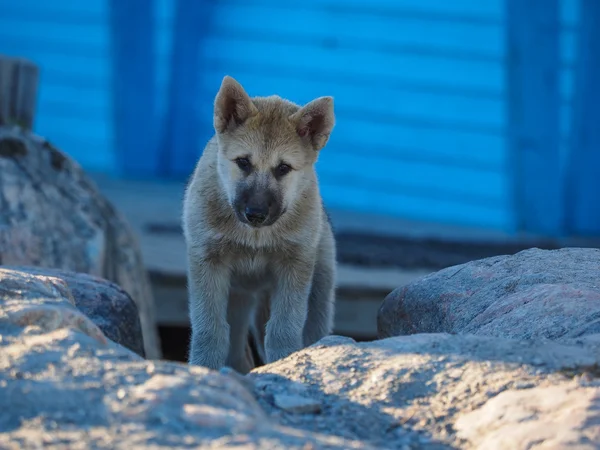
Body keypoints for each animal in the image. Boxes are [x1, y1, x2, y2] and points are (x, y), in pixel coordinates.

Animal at [182, 76, 338, 372]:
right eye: (243, 162)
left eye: (283, 168)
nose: (255, 213)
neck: (255, 238)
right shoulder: (208, 263)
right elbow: (210, 331)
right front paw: (203, 369)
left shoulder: (294, 267)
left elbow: (283, 330)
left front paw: (285, 365)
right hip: (238, 300)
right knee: (236, 352)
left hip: (316, 294)